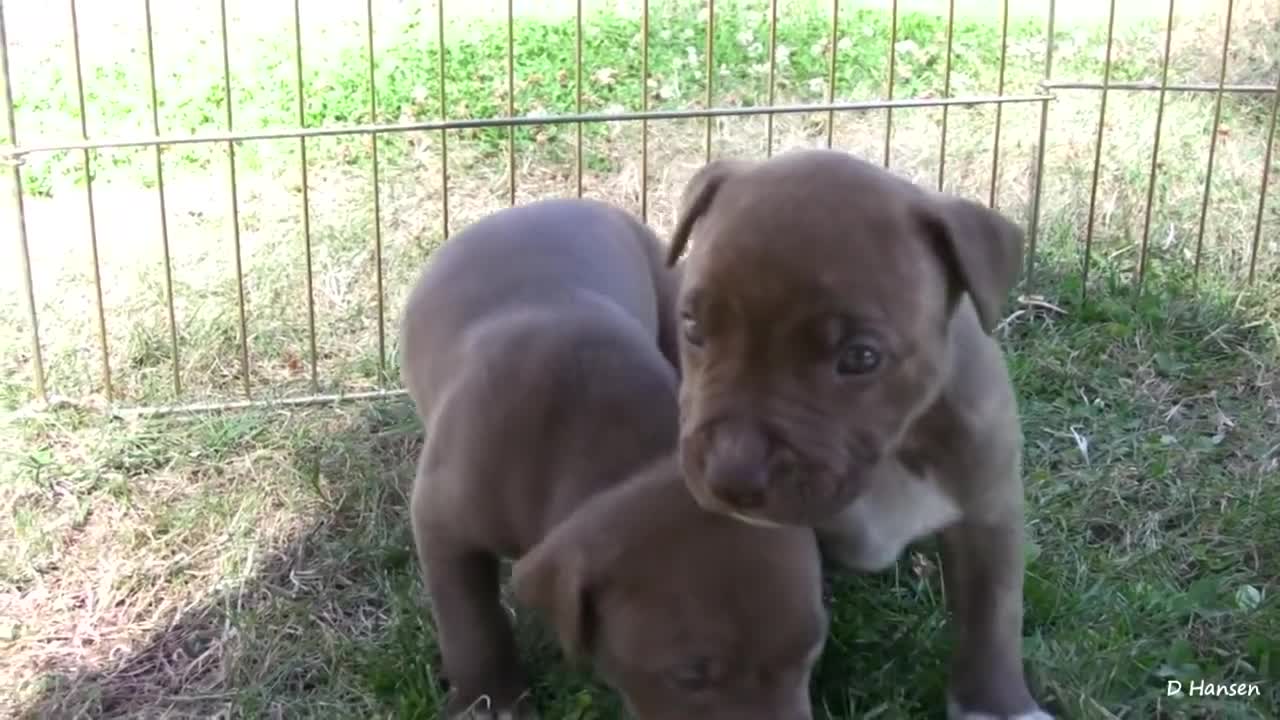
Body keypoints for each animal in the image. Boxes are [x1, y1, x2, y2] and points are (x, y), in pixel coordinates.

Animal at [394, 196, 829, 717]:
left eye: (813, 646)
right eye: (690, 675)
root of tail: (539, 205)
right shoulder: (443, 521)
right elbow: (469, 620)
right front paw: (490, 699)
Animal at [665, 149, 1054, 717]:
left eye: (861, 357)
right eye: (692, 326)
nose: (731, 476)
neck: (893, 453)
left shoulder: (990, 511)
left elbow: (994, 615)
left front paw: (998, 703)